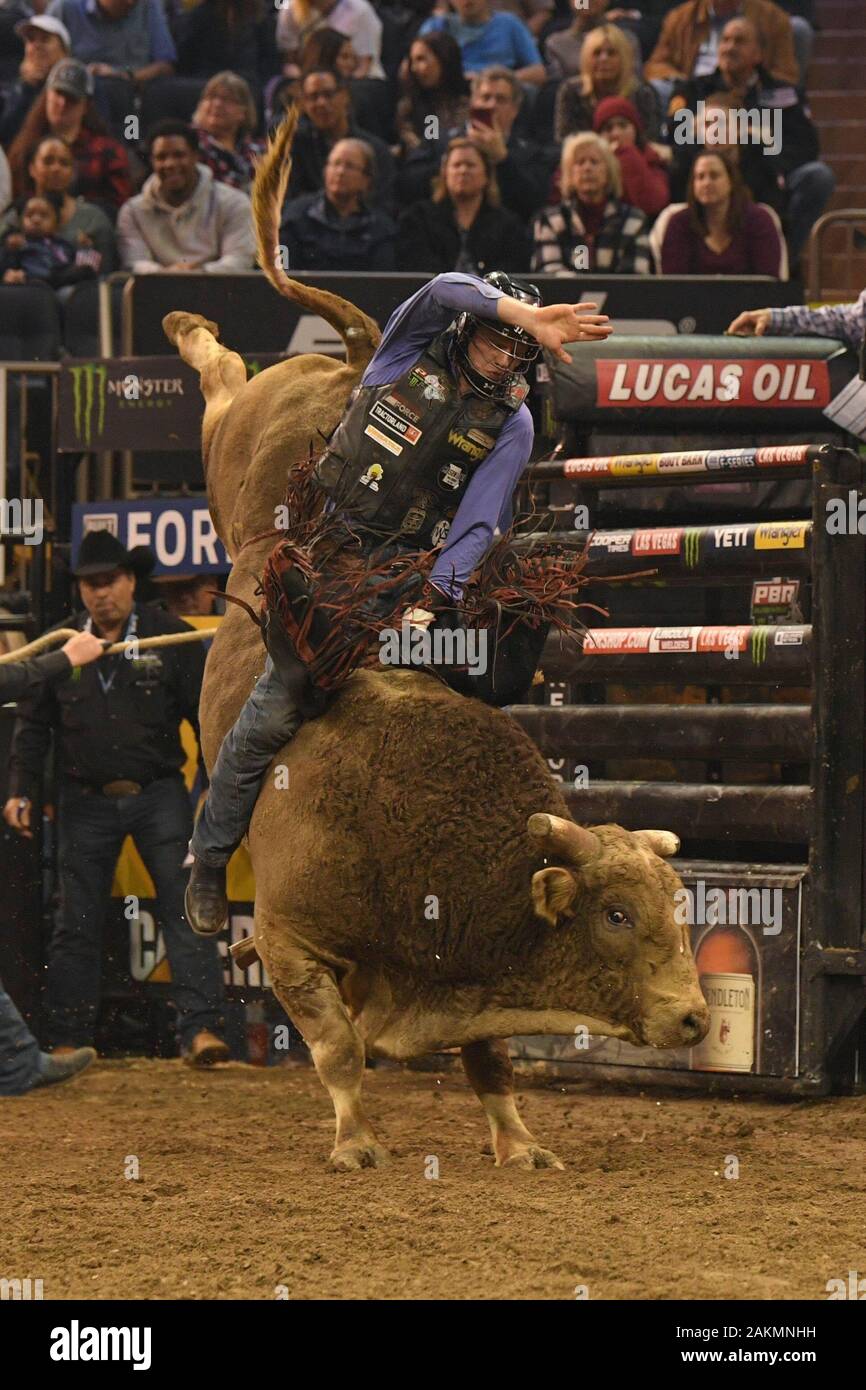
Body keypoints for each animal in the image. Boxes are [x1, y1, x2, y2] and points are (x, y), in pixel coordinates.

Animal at [164, 111, 711, 1173]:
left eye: (676, 904)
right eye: (615, 914)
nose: (697, 1019)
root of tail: (355, 363)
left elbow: (489, 1058)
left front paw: (518, 1140)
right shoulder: (292, 941)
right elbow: (337, 1046)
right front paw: (355, 1139)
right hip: (234, 449)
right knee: (221, 386)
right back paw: (188, 328)